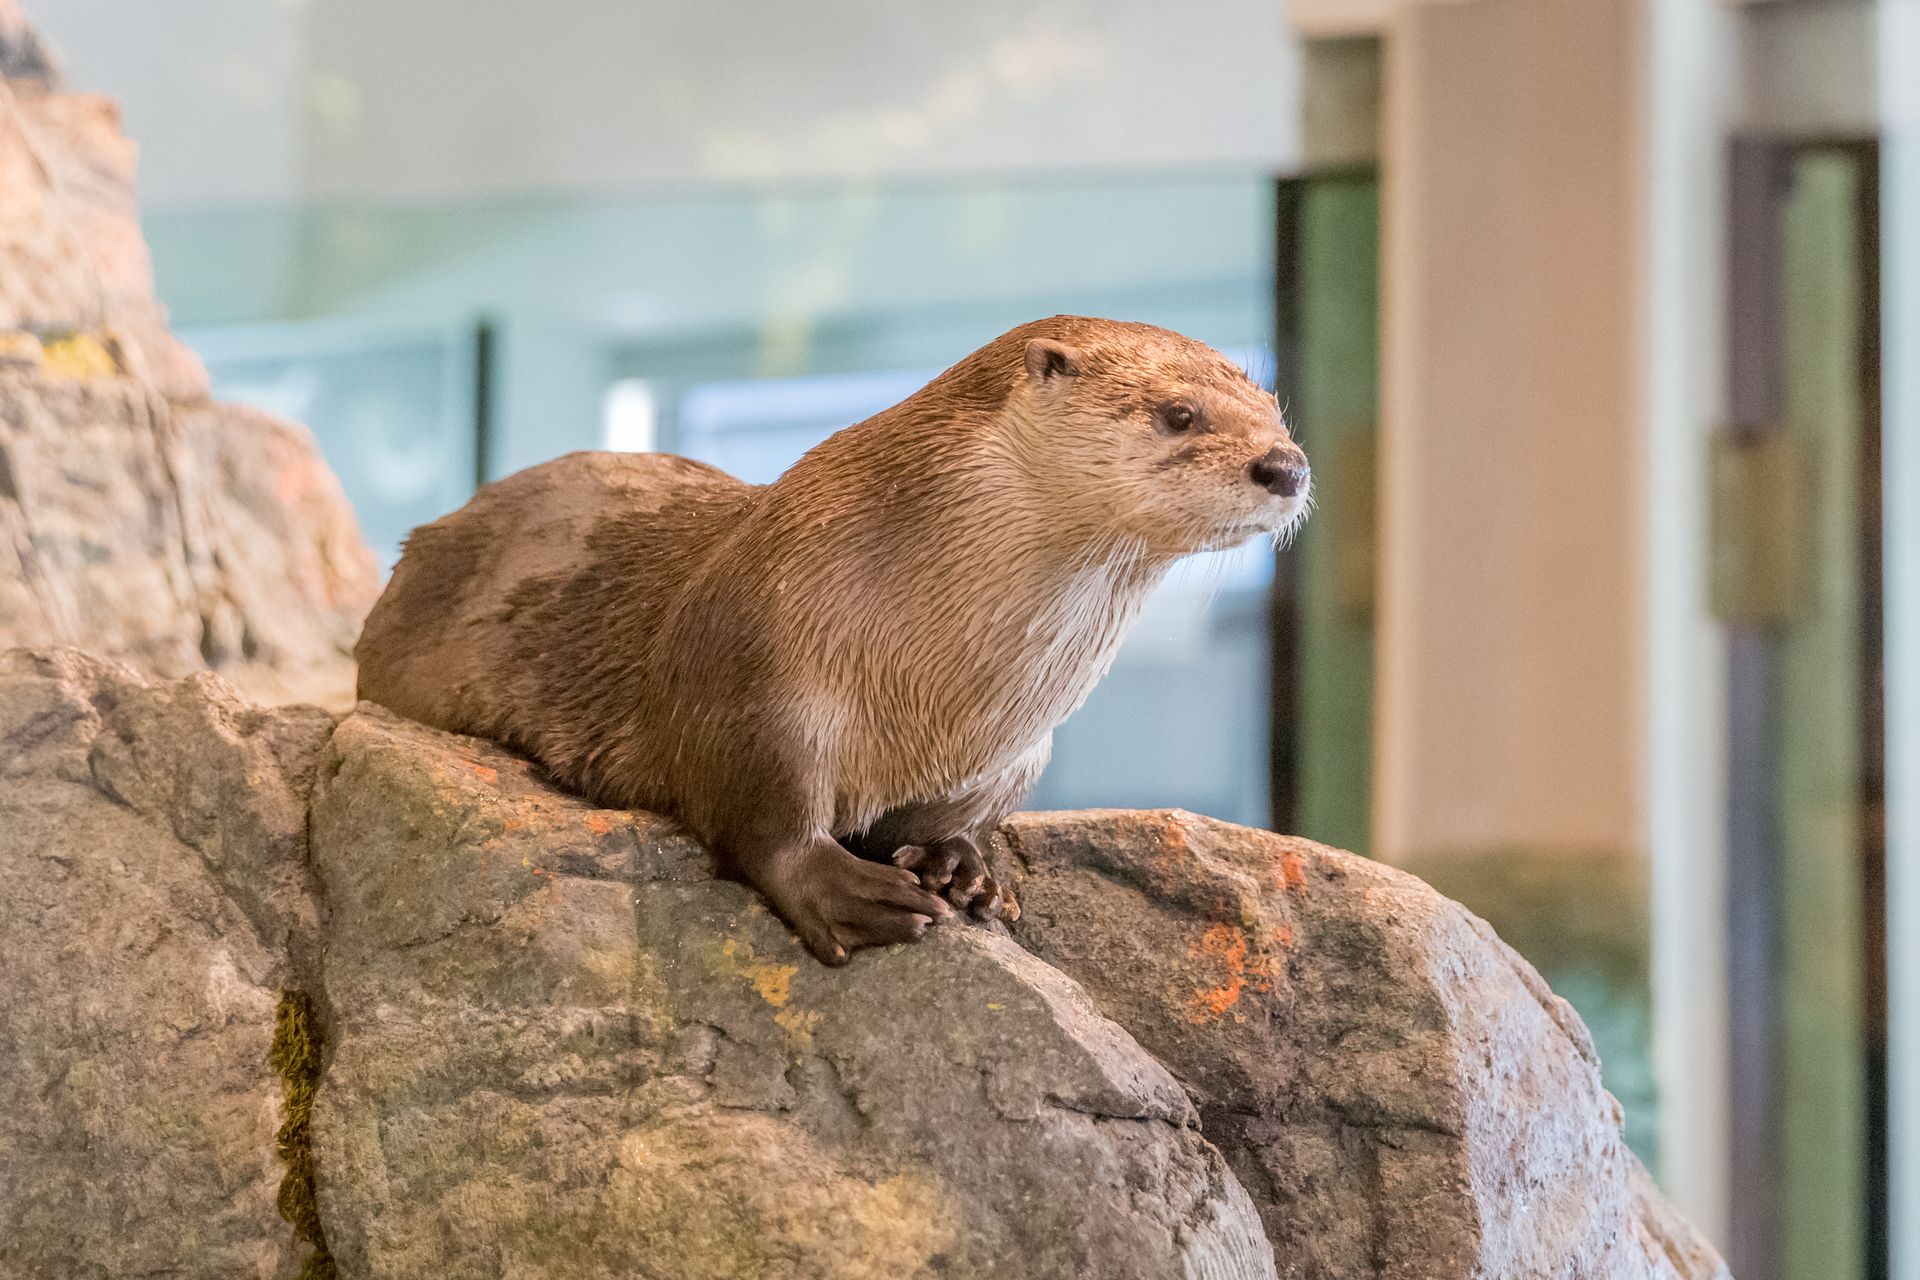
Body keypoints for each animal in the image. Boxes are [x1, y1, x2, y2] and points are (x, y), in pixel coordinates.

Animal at [355, 316, 1310, 964]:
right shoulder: (757, 683)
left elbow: (979, 809)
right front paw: (847, 889)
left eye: (1274, 407)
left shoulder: (1021, 748)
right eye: (1179, 414)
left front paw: (964, 864)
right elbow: (756, 810)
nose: (1286, 465)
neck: (944, 697)